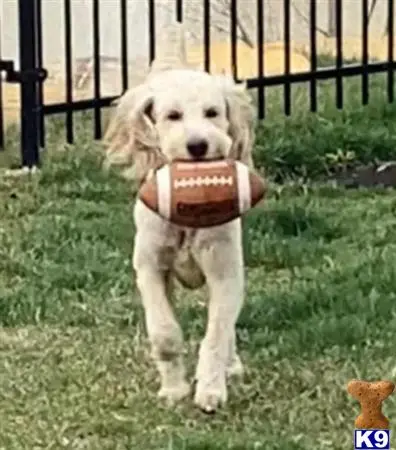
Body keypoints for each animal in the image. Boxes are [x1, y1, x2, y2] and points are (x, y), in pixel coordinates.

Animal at [103, 22, 255, 414]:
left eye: (213, 112)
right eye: (172, 116)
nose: (198, 146)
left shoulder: (225, 271)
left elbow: (217, 333)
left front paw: (211, 390)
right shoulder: (150, 267)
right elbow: (165, 333)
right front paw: (173, 389)